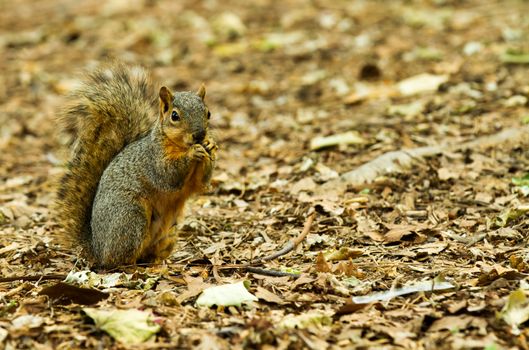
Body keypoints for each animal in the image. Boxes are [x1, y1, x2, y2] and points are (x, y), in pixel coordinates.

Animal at [55, 63, 217, 268]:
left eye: (208, 113)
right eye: (174, 116)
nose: (199, 135)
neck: (179, 145)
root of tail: (97, 249)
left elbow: (202, 184)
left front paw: (211, 147)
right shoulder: (152, 160)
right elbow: (168, 176)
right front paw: (194, 152)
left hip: (168, 233)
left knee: (147, 255)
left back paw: (158, 263)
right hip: (131, 217)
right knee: (118, 260)